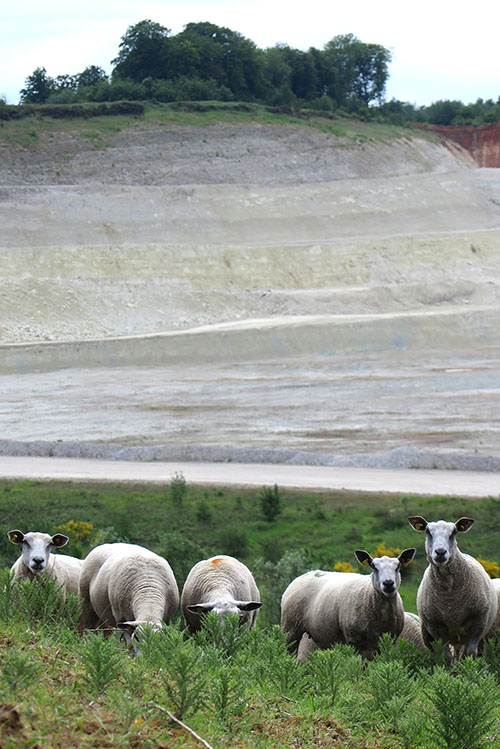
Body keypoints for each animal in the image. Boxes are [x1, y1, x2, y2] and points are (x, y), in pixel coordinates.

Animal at [282, 544, 414, 660]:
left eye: (398, 566)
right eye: (373, 566)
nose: (388, 583)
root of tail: (299, 577)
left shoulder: (388, 641)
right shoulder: (356, 641)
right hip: (290, 628)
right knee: (288, 652)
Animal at [408, 516, 498, 656]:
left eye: (454, 532)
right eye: (427, 531)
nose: (440, 552)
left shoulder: (479, 623)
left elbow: (470, 652)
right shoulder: (435, 627)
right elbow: (445, 656)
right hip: (428, 635)